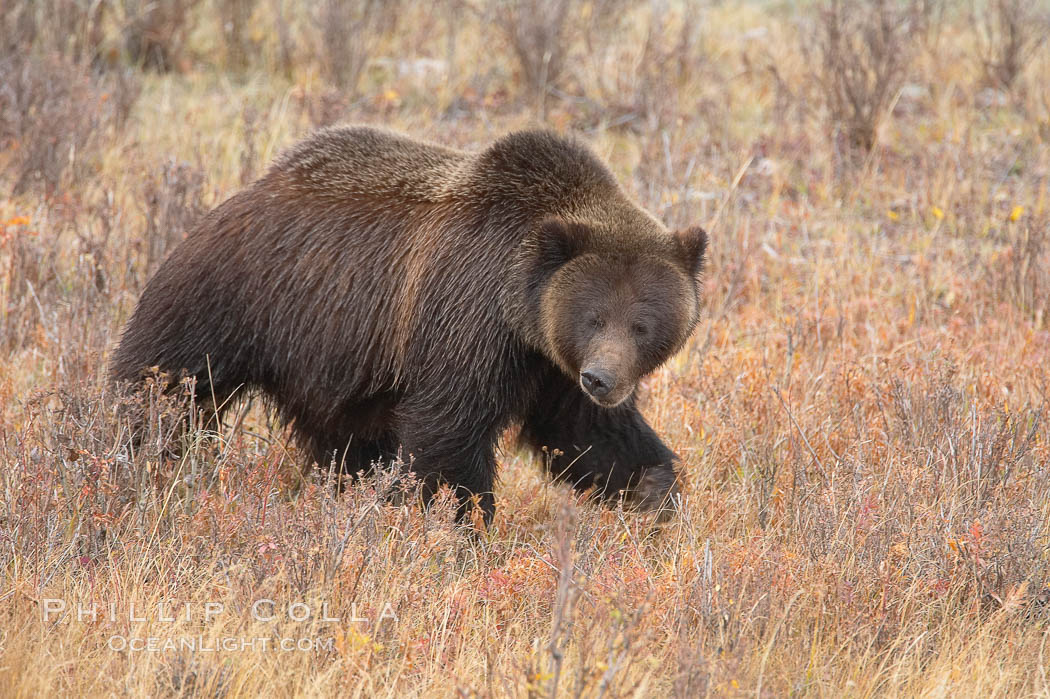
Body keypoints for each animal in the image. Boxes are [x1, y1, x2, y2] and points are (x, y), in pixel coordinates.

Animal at [110, 126, 709, 522]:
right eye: (593, 316)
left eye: (642, 324)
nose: (601, 379)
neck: (520, 315)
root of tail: (241, 195)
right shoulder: (466, 321)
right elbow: (449, 436)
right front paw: (460, 524)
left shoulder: (549, 366)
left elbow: (587, 436)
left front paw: (654, 492)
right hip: (225, 301)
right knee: (162, 394)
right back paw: (135, 464)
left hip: (334, 366)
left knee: (347, 445)